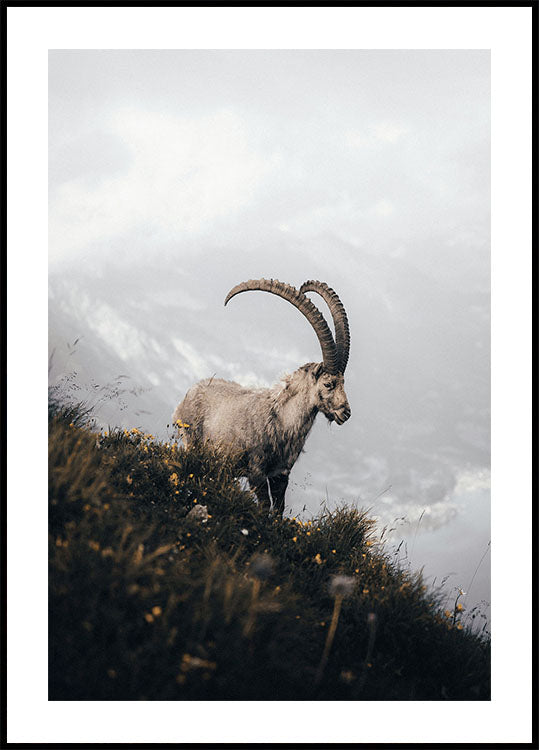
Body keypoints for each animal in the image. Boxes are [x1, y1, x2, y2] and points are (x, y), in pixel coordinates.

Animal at [173, 279, 351, 515]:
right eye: (329, 384)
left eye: (344, 383)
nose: (346, 413)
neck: (282, 420)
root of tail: (188, 395)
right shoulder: (256, 472)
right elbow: (264, 506)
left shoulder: (280, 475)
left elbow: (278, 511)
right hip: (192, 441)